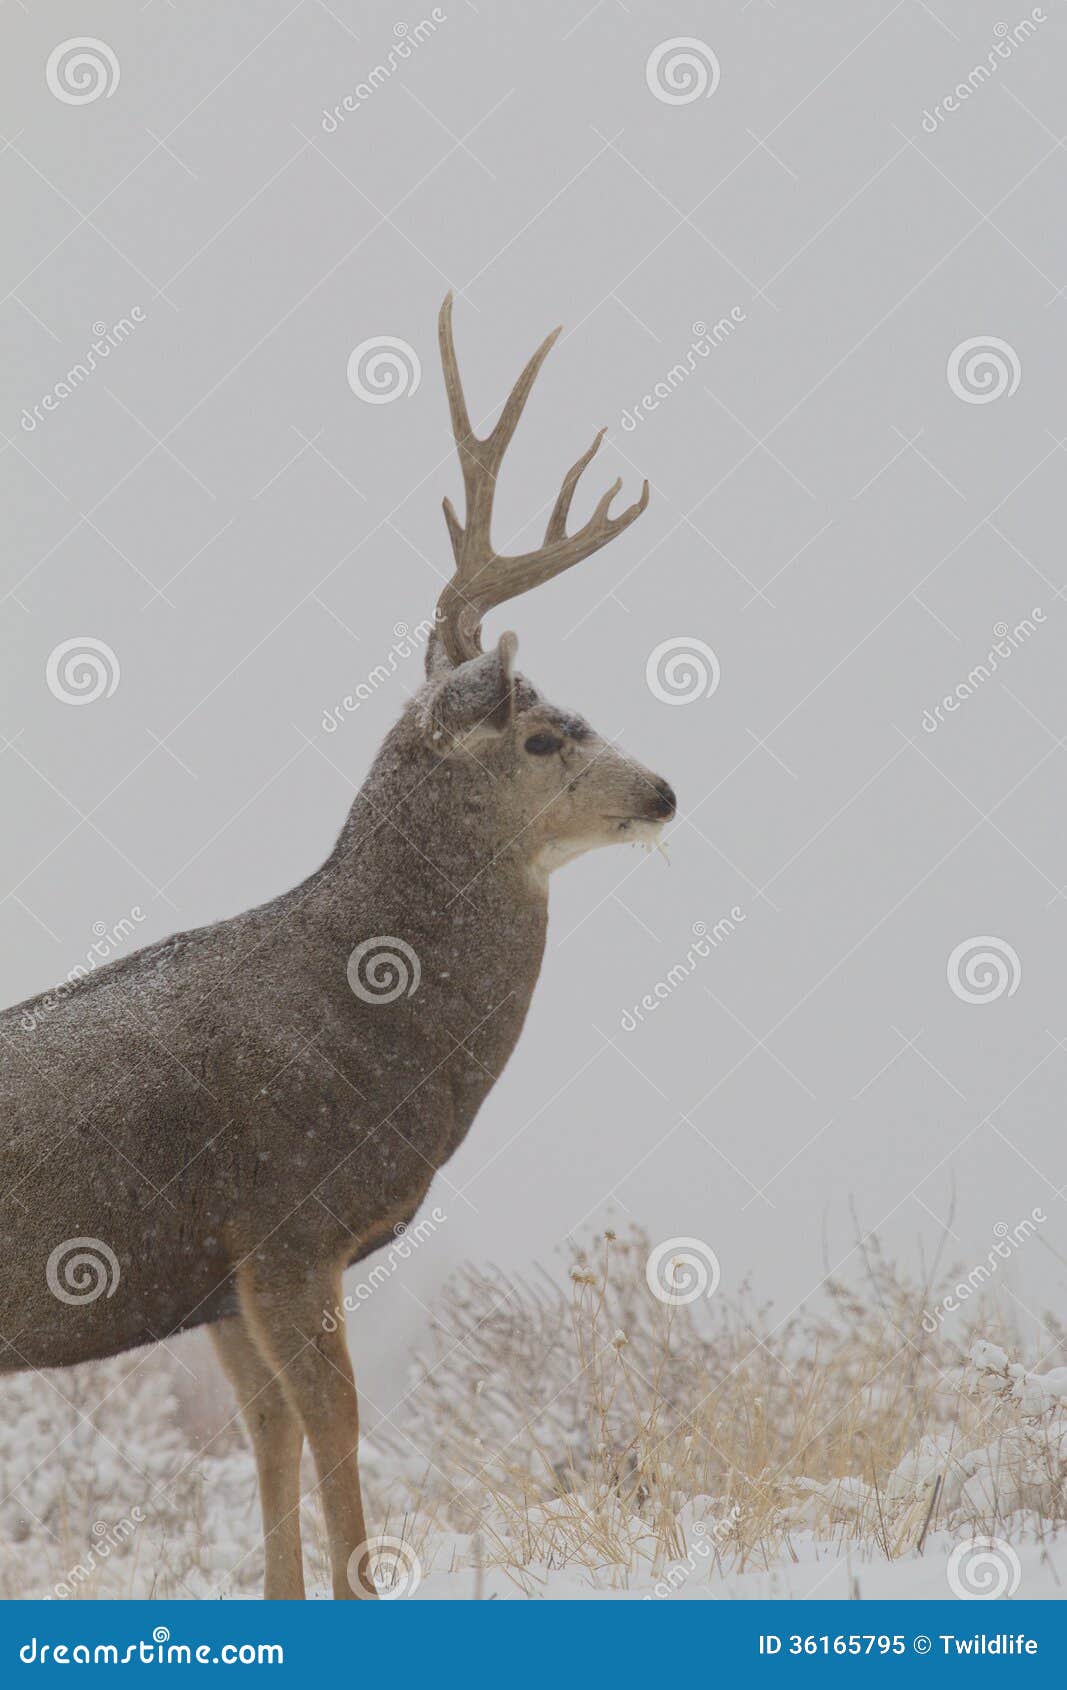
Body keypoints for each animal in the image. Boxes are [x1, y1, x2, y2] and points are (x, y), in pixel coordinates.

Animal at [2, 297, 676, 1602]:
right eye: (541, 734)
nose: (663, 790)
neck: (368, 1021)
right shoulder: (287, 1222)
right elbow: (337, 1425)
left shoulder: (215, 1276)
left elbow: (267, 1436)